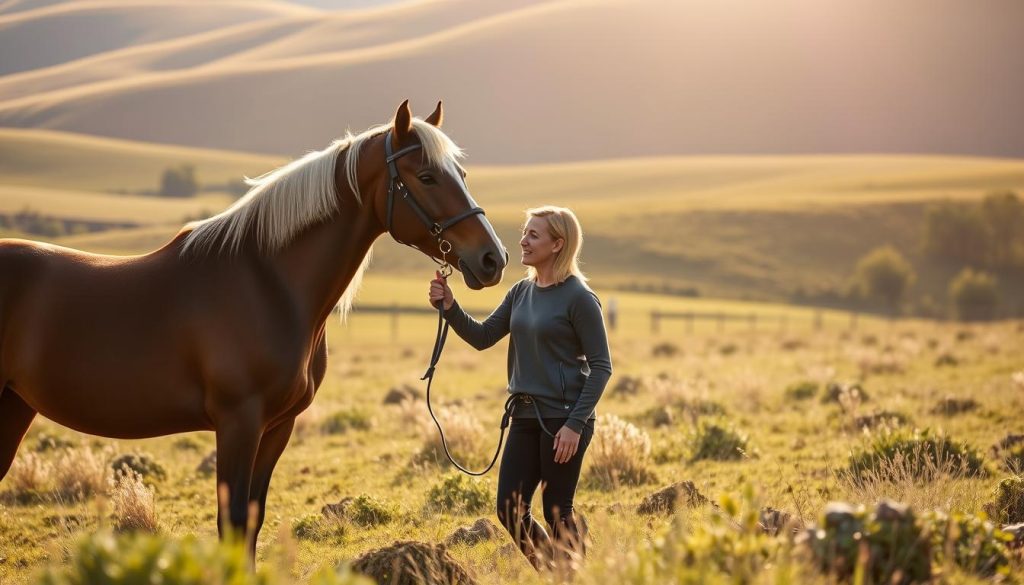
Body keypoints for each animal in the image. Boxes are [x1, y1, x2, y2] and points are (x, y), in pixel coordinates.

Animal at [0, 100, 507, 557]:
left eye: (461, 175)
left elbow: (252, 521)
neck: (266, 282)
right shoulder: (238, 422)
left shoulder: (277, 427)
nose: (493, 259)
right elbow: (232, 521)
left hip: (14, 408)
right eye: (426, 177)